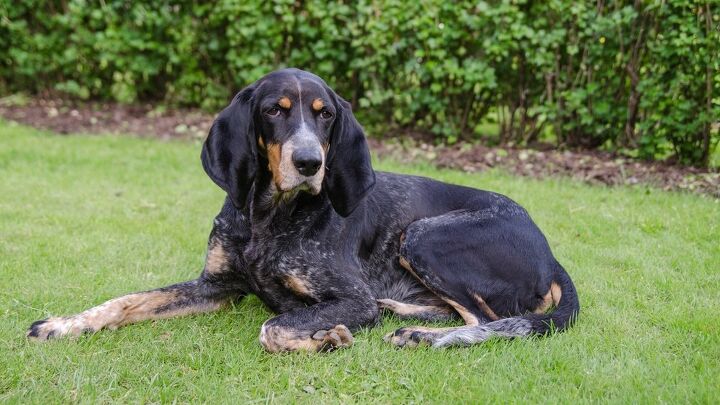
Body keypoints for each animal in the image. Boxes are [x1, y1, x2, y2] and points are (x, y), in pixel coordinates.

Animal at [26, 68, 580, 348]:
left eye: (326, 114)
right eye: (275, 111)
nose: (311, 162)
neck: (268, 218)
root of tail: (552, 253)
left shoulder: (352, 298)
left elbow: (274, 328)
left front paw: (325, 337)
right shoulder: (215, 286)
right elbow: (127, 301)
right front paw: (66, 324)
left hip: (424, 234)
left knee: (494, 323)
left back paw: (425, 335)